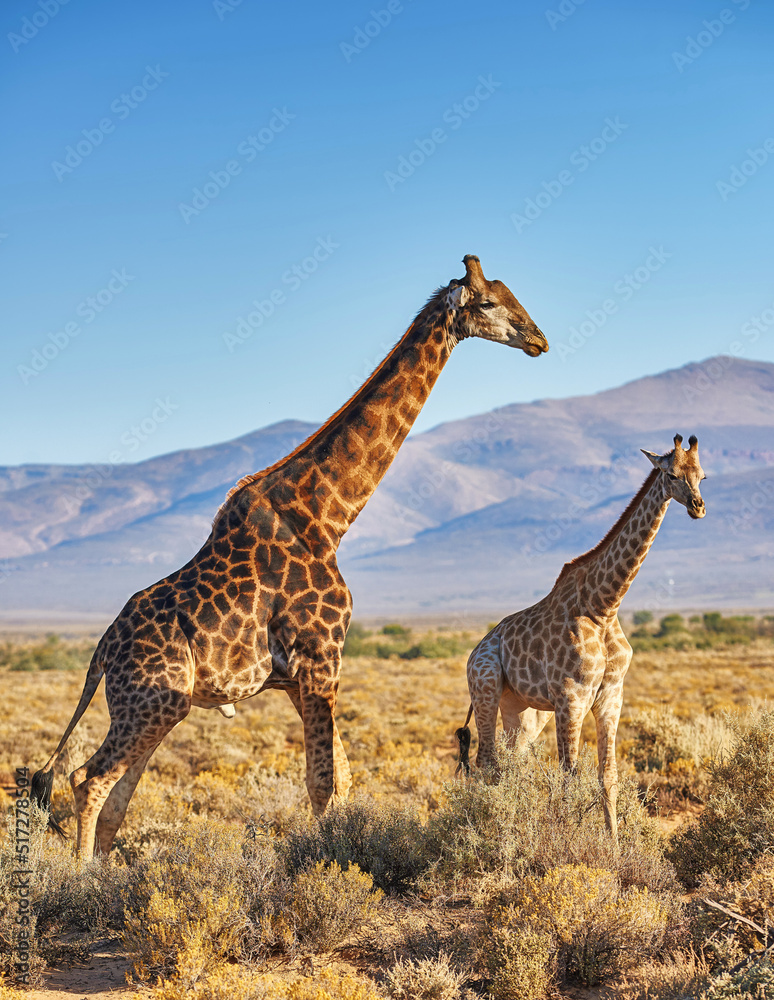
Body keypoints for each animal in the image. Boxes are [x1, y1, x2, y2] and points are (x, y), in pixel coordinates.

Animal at [31, 254, 552, 856]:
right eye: (488, 302)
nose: (539, 339)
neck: (328, 517)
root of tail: (100, 653)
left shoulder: (301, 675)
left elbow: (341, 777)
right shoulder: (321, 656)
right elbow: (323, 782)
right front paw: (326, 864)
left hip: (158, 705)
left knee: (115, 793)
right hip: (150, 700)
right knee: (87, 779)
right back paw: (79, 874)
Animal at [464, 434, 708, 840]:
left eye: (702, 475)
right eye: (672, 474)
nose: (698, 507)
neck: (604, 606)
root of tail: (476, 650)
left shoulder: (610, 697)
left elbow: (607, 776)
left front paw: (613, 845)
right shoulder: (571, 699)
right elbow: (568, 777)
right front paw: (564, 841)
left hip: (523, 710)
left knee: (512, 766)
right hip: (485, 689)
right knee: (486, 762)